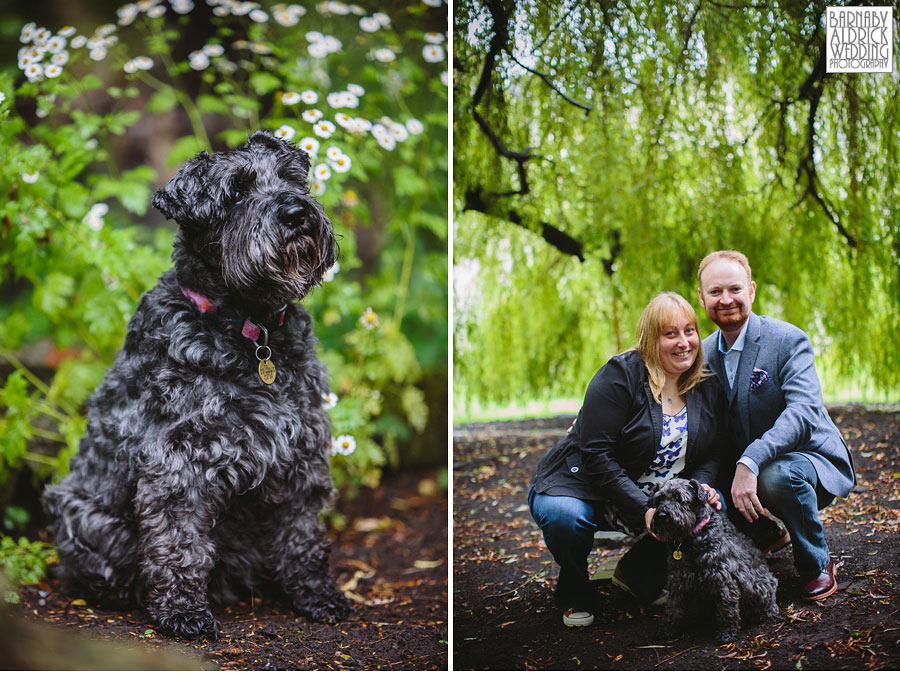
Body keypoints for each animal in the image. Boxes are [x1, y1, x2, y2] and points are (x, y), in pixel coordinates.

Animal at [43, 131, 352, 640]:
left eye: (292, 180)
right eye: (237, 193)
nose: (295, 213)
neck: (251, 330)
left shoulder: (301, 451)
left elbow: (303, 537)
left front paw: (316, 594)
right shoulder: (179, 462)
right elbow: (179, 543)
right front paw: (182, 611)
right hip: (78, 512)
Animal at [648, 476, 780, 644]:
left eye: (679, 498)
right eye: (659, 499)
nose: (662, 515)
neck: (691, 539)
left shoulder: (722, 578)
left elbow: (727, 609)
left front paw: (727, 632)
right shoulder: (678, 579)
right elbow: (672, 607)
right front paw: (667, 629)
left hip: (759, 586)